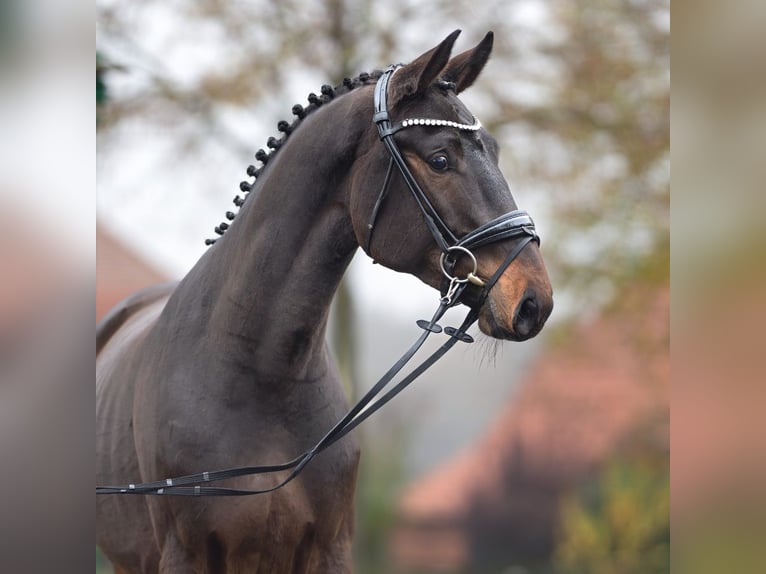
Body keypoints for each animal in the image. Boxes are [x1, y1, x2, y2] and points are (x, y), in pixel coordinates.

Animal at [97, 31, 552, 574]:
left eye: (496, 151)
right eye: (441, 159)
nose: (534, 301)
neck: (258, 369)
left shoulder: (330, 550)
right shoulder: (186, 556)